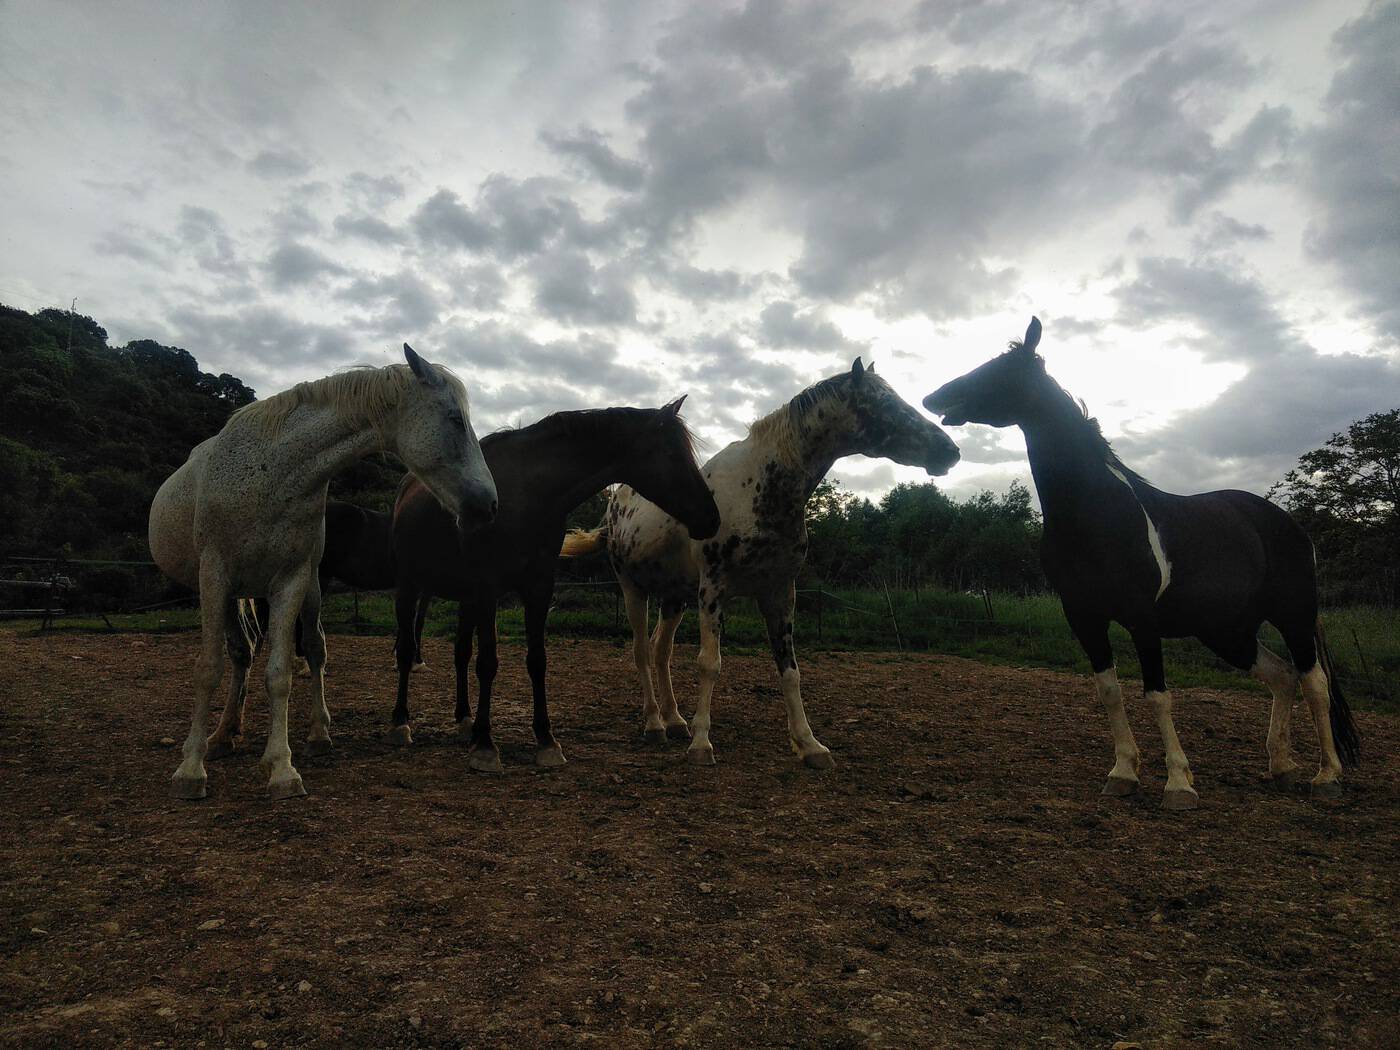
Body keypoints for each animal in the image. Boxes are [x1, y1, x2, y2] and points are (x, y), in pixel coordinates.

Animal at [148, 345, 497, 800]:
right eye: (455, 419)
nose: (489, 504)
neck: (273, 472)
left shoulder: (291, 579)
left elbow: (279, 673)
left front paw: (281, 768)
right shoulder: (215, 576)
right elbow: (207, 669)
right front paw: (191, 768)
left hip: (306, 586)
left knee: (301, 649)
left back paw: (306, 734)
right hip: (230, 593)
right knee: (240, 654)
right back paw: (223, 734)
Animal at [389, 400, 721, 771]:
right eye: (673, 453)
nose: (712, 519)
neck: (526, 494)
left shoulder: (538, 588)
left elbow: (537, 661)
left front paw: (545, 741)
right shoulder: (488, 589)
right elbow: (488, 662)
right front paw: (486, 745)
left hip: (465, 599)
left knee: (460, 653)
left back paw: (464, 721)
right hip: (410, 587)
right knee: (406, 650)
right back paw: (401, 723)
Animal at [561, 358, 960, 768]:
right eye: (881, 405)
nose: (949, 451)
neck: (759, 489)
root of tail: (615, 503)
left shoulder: (779, 593)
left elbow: (790, 671)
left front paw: (809, 744)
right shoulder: (713, 591)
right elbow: (709, 663)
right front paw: (702, 744)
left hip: (674, 598)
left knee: (661, 652)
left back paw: (674, 721)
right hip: (633, 590)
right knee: (642, 652)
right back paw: (655, 723)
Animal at [922, 317, 1360, 809]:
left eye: (1001, 369)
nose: (934, 398)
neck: (1096, 512)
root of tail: (1288, 523)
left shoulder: (1141, 618)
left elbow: (1157, 695)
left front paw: (1178, 784)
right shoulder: (1084, 616)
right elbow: (1110, 691)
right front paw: (1123, 773)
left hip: (1293, 616)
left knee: (1314, 682)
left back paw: (1326, 777)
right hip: (1227, 630)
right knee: (1282, 677)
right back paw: (1282, 767)